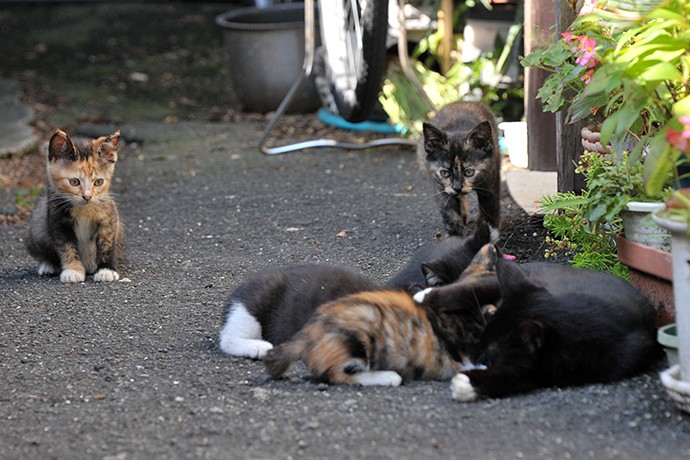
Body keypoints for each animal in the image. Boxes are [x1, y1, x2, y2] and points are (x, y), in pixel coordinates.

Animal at [25, 127, 125, 282]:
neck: (83, 210)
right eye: (74, 181)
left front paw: (106, 270)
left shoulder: (109, 216)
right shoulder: (57, 220)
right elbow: (67, 247)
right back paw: (48, 266)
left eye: (98, 182)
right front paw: (73, 271)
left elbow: (106, 244)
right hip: (36, 227)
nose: (87, 196)